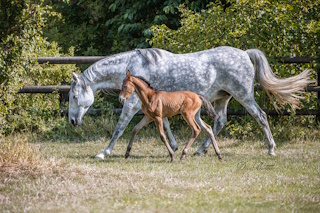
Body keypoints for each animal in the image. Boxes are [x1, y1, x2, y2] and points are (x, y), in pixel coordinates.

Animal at [69, 47, 312, 160]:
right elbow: (165, 125)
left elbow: (119, 128)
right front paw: (175, 147)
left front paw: (104, 152)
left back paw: (271, 149)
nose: (72, 121)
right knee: (219, 122)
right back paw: (199, 151)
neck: (135, 67)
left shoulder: (132, 105)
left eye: (73, 96)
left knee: (260, 116)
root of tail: (244, 53)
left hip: (244, 95)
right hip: (222, 98)